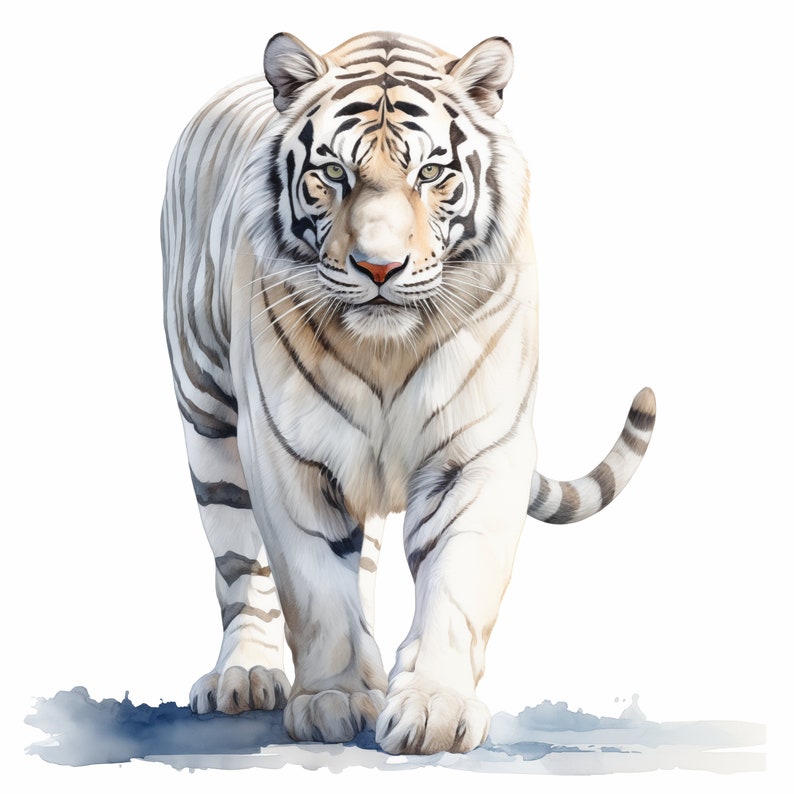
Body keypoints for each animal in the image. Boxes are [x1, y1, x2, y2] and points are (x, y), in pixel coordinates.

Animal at [161, 30, 655, 755]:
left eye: (429, 175)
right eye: (334, 173)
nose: (378, 267)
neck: (386, 351)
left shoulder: (477, 451)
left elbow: (457, 581)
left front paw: (434, 711)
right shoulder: (288, 454)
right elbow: (313, 584)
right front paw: (334, 700)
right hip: (209, 421)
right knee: (240, 564)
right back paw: (245, 674)